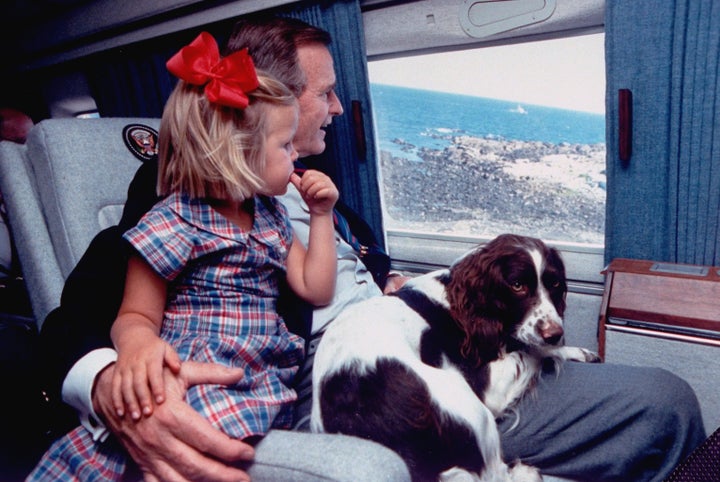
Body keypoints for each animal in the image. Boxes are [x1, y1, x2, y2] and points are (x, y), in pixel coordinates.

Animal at [310, 233, 596, 478]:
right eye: (517, 285)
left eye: (555, 283)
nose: (555, 333)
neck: (463, 302)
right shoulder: (489, 387)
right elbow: (531, 348)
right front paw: (563, 349)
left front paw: (576, 350)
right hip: (469, 406)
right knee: (493, 473)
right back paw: (525, 474)